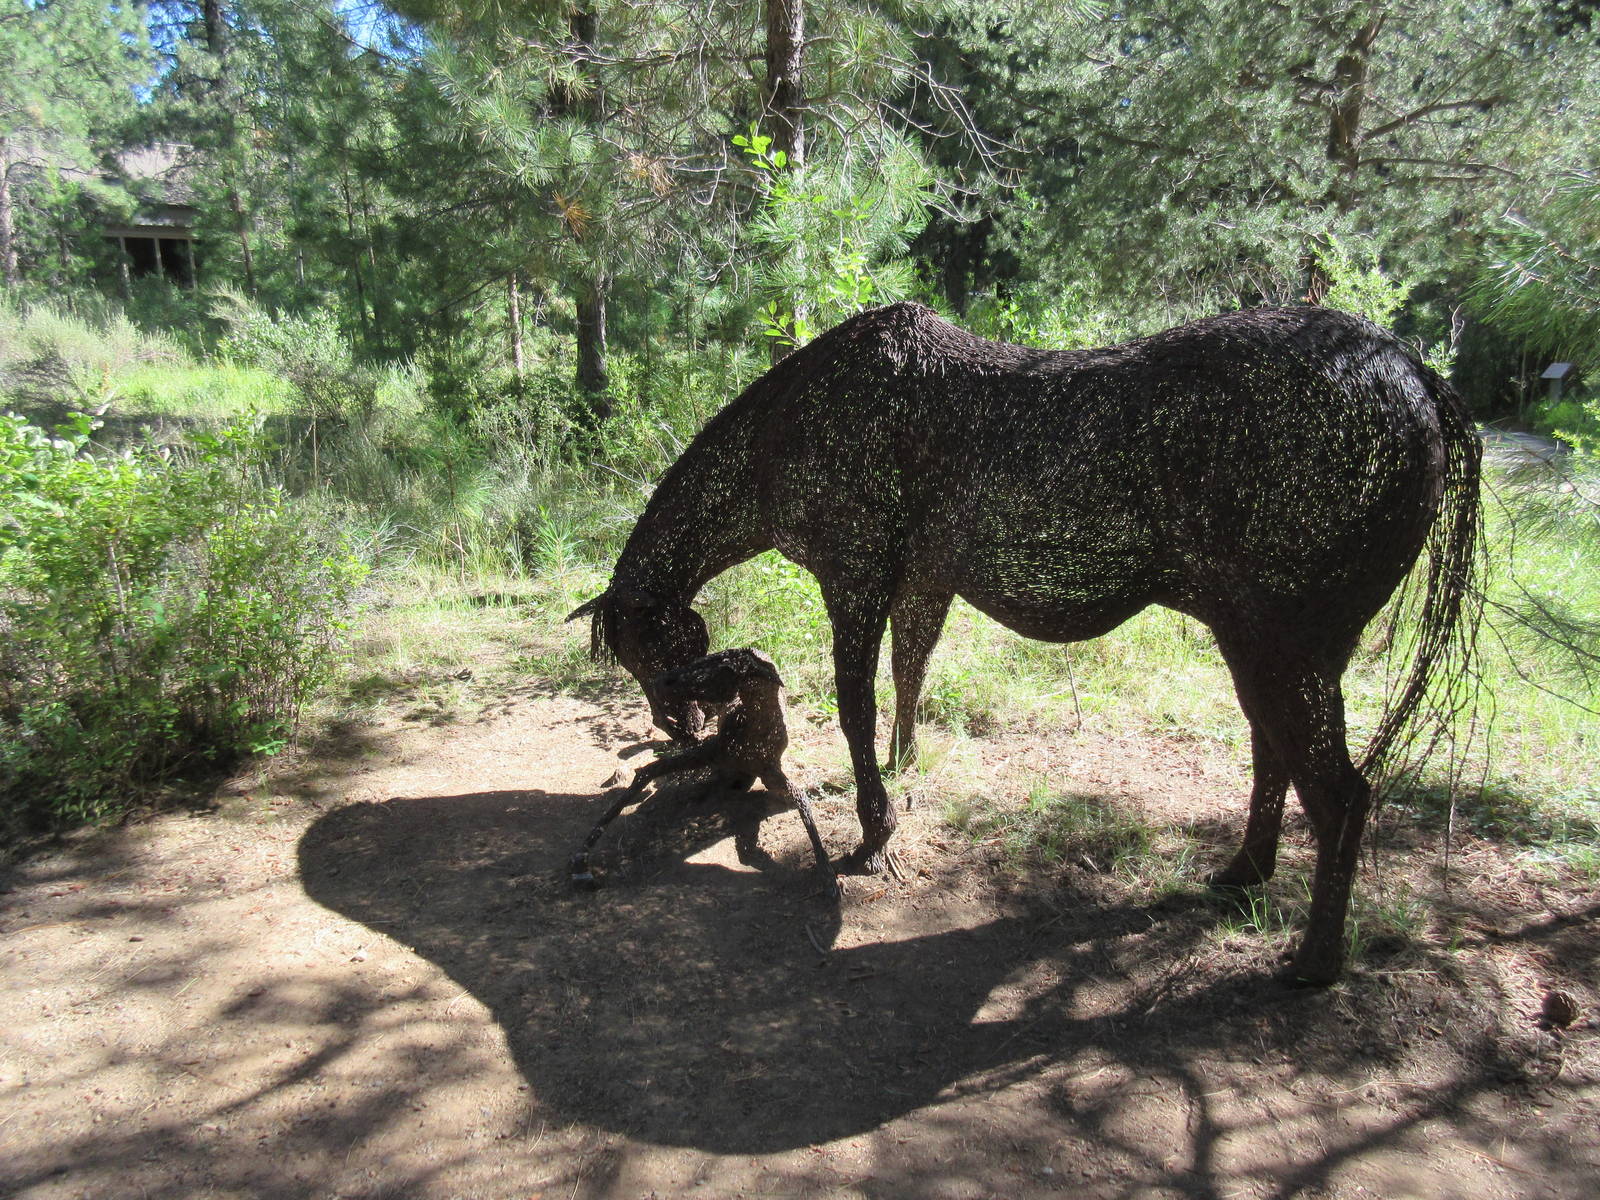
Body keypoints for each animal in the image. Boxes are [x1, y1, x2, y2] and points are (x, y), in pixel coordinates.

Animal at [569, 302, 1480, 984]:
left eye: (644, 654)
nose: (678, 728)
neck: (782, 432)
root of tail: (1417, 375)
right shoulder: (922, 582)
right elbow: (910, 674)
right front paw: (904, 770)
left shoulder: (854, 576)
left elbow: (858, 707)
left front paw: (874, 829)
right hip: (1273, 644)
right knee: (1275, 755)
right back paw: (1241, 876)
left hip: (1282, 643)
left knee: (1340, 795)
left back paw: (1312, 964)